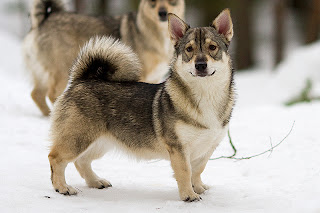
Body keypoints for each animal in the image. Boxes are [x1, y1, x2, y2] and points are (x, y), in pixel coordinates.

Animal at [23, 0, 185, 116]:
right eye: (153, 1)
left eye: (172, 1)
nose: (162, 13)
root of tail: (45, 18)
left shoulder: (155, 78)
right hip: (62, 70)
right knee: (51, 94)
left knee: (36, 94)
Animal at [48, 9, 235, 201]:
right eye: (189, 49)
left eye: (212, 47)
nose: (200, 65)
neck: (207, 94)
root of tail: (82, 79)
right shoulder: (178, 148)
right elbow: (185, 172)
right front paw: (189, 196)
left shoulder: (207, 148)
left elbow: (197, 171)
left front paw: (198, 189)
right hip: (78, 139)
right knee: (56, 158)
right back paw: (62, 187)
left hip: (99, 142)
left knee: (81, 161)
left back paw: (96, 182)